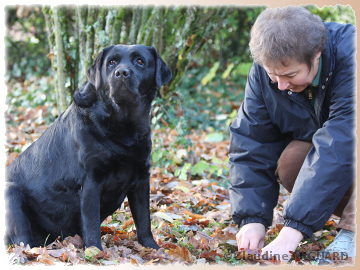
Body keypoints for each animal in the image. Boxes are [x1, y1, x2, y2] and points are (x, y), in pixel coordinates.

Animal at [5, 44, 172, 251]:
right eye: (112, 62)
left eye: (140, 61)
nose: (121, 73)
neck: (122, 127)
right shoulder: (91, 181)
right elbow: (92, 224)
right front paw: (95, 251)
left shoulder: (141, 178)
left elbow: (144, 220)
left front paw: (152, 248)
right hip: (10, 191)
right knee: (23, 240)